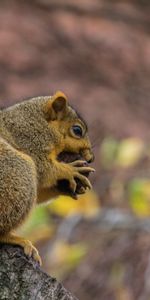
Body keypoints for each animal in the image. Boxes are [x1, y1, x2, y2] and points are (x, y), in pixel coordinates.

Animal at [0, 91, 94, 264]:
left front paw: (67, 188)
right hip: (17, 170)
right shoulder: (30, 140)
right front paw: (70, 170)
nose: (91, 158)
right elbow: (44, 169)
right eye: (77, 130)